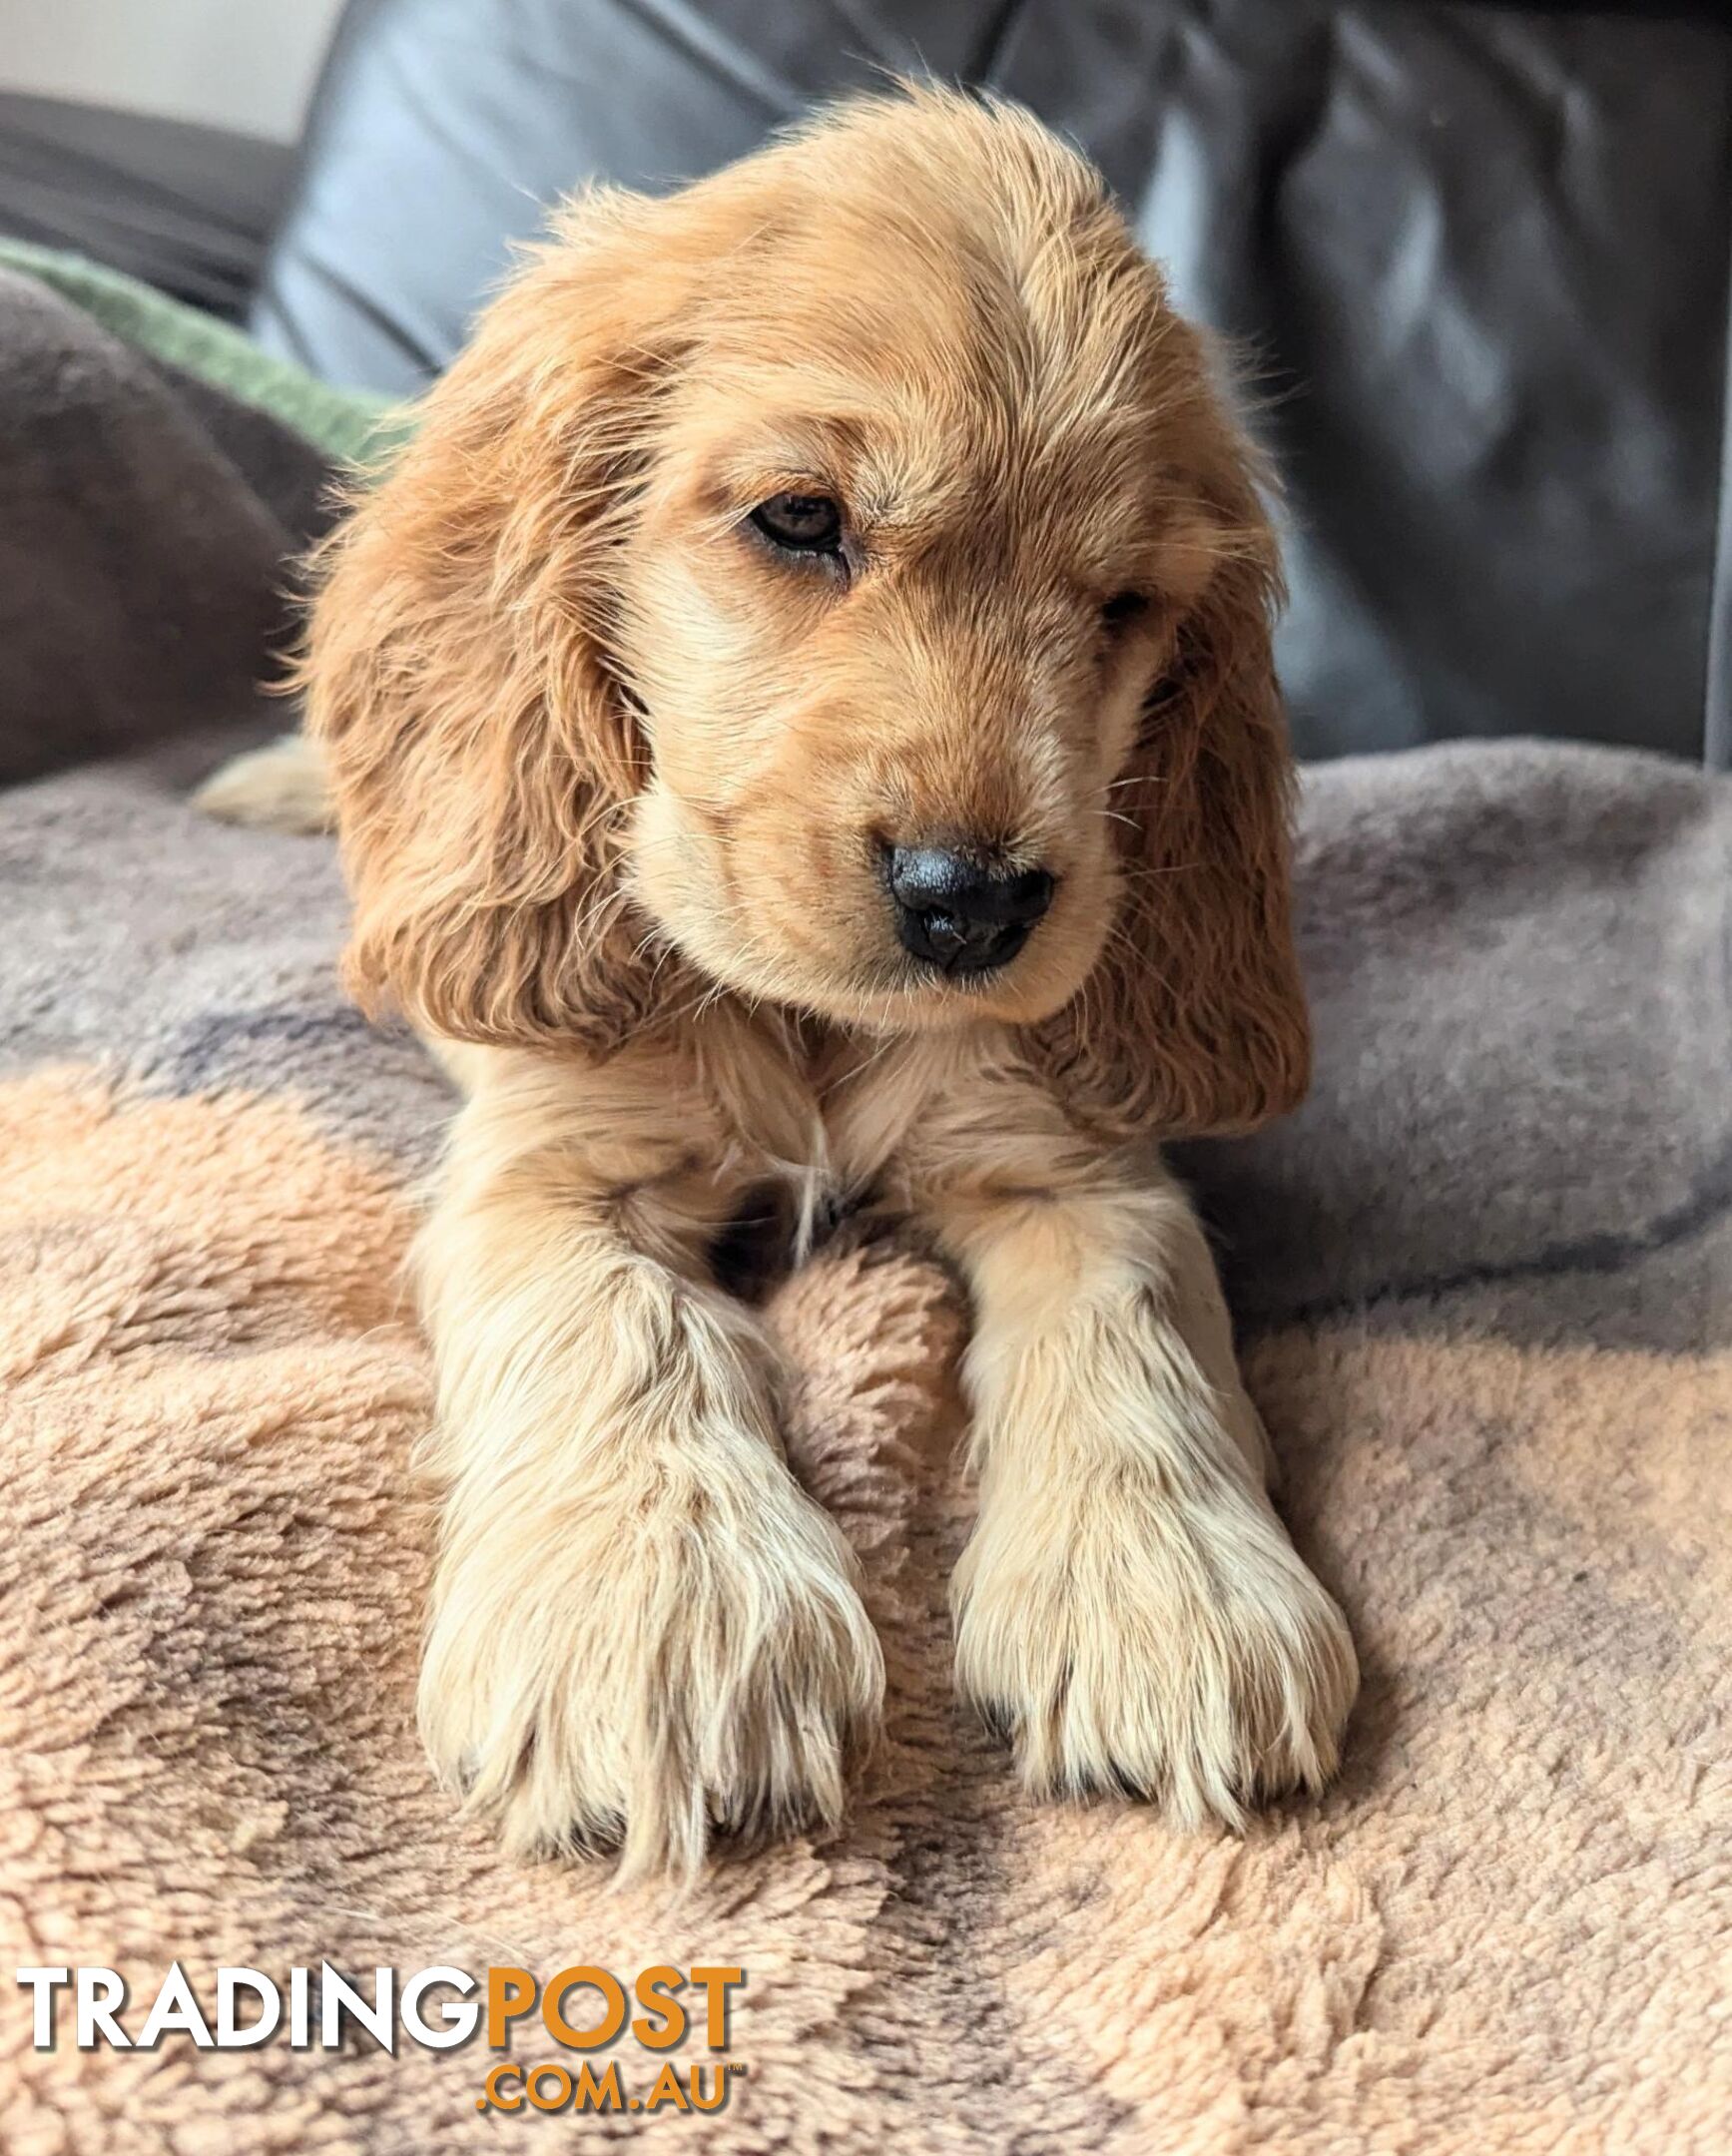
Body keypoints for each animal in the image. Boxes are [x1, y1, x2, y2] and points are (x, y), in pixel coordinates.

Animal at [210, 84, 1363, 1871]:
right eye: (801, 522)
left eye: (1120, 606)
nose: (971, 904)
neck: (812, 1030)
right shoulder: (549, 1162)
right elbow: (616, 1319)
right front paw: (655, 1610)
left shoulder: (1066, 1155)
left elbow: (1134, 1323)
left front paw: (1169, 1591)